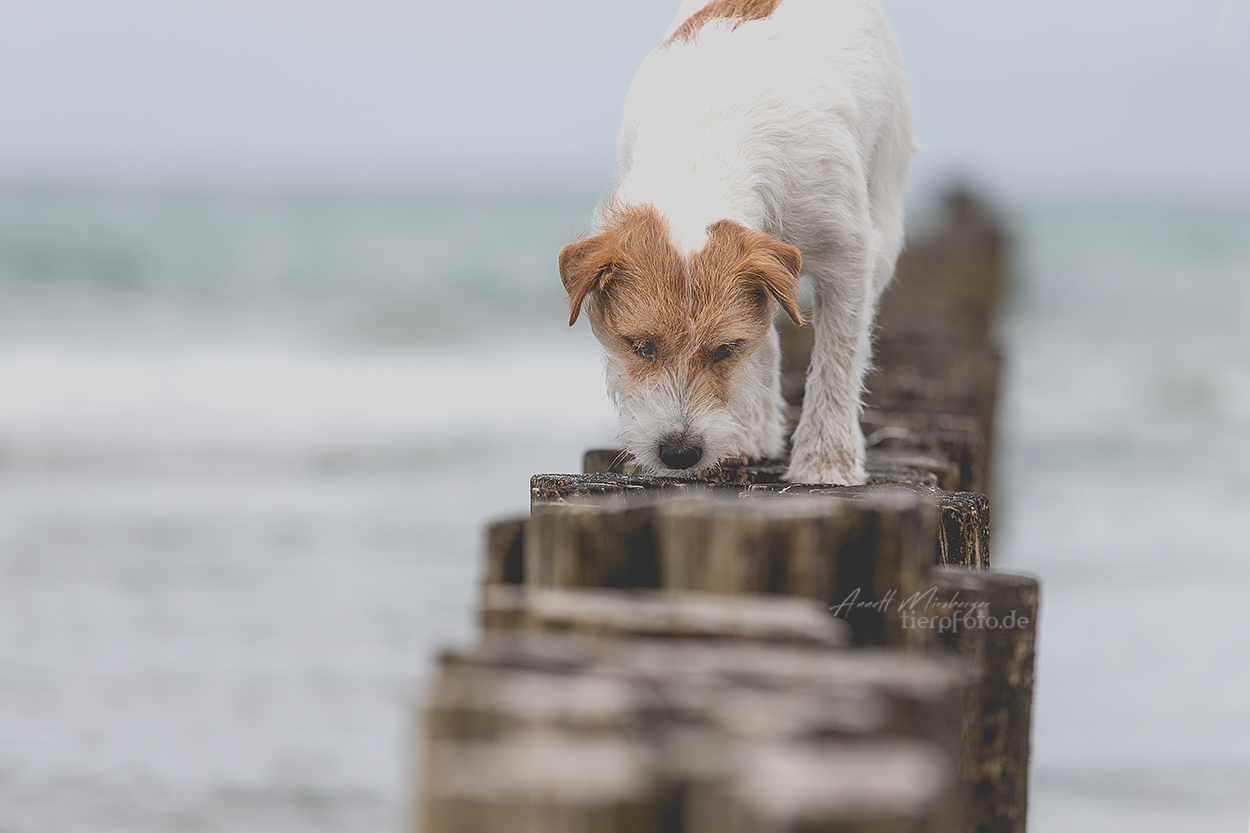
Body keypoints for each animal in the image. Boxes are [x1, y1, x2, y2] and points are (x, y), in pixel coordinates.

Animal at [562, 0, 915, 482]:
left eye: (724, 350)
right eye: (641, 346)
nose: (679, 453)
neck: (702, 159)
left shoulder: (848, 257)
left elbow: (837, 359)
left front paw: (825, 462)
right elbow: (765, 341)